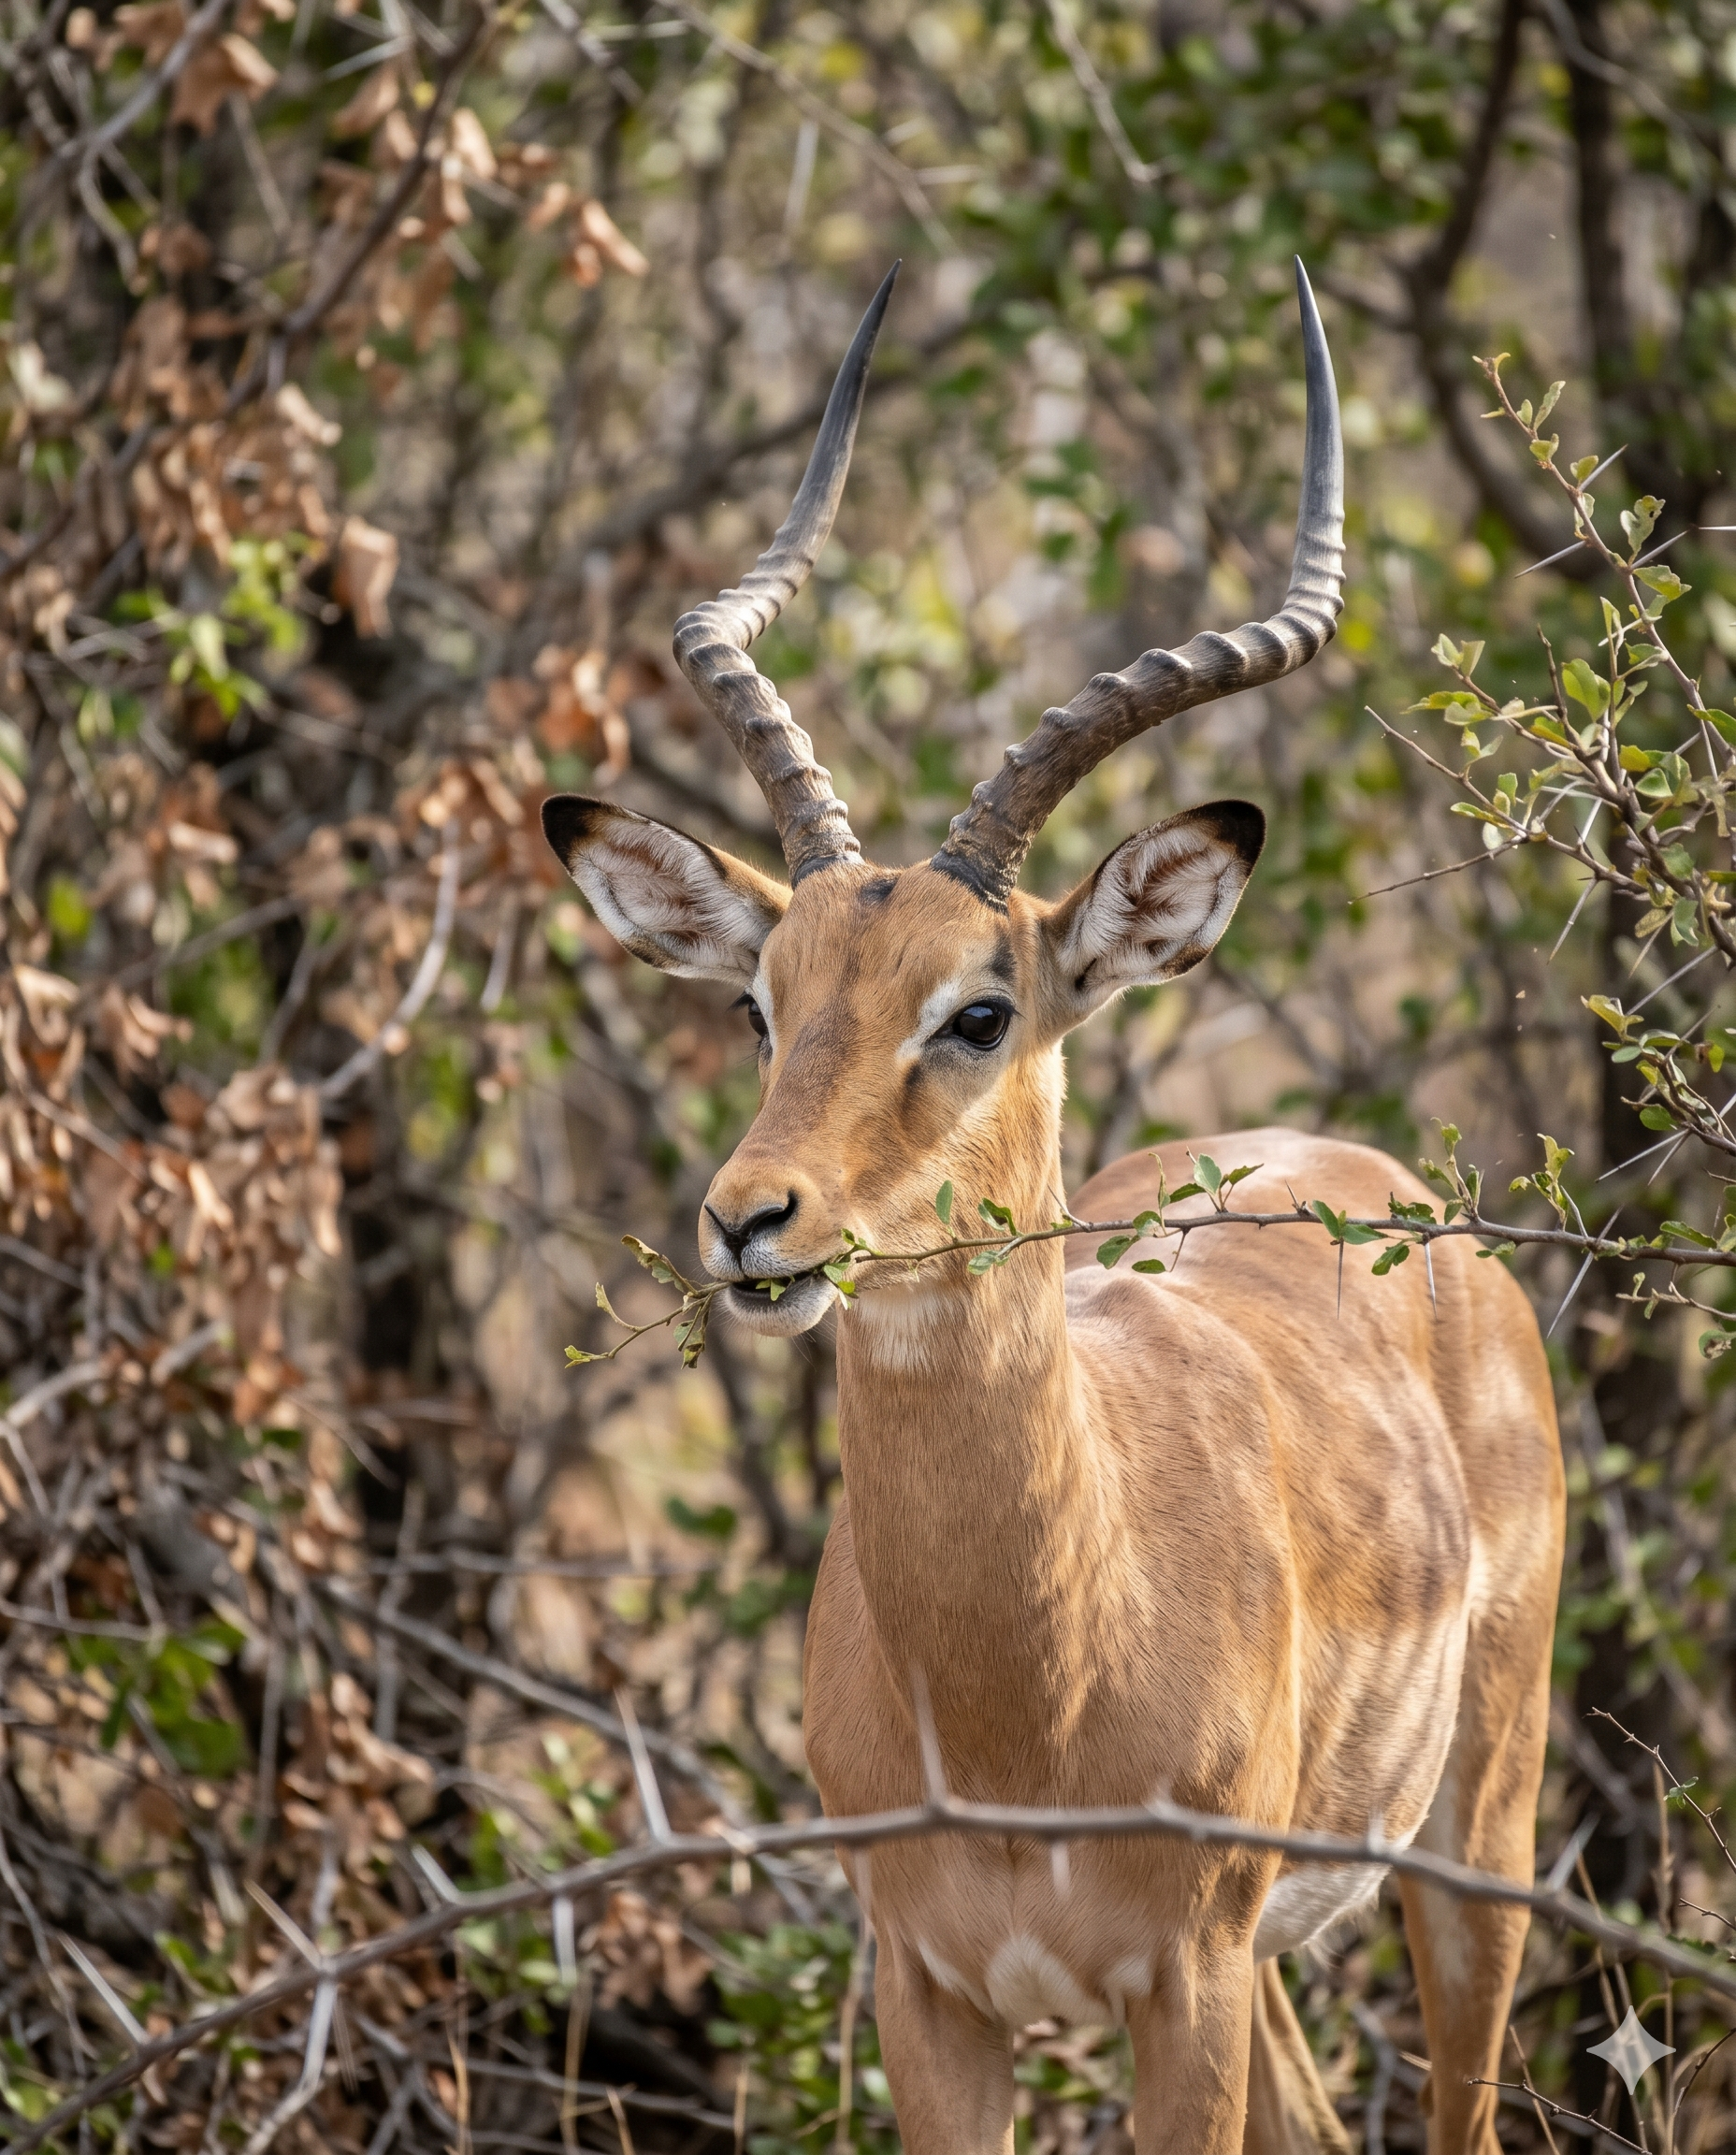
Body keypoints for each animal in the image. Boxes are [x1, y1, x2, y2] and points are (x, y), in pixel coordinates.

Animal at [542, 264, 1564, 2154]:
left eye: (980, 1009)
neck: (1026, 1700)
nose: (750, 1221)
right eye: (761, 1004)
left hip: (1477, 1846)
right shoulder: (929, 1992)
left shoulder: (1186, 1983)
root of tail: (1382, 1182)